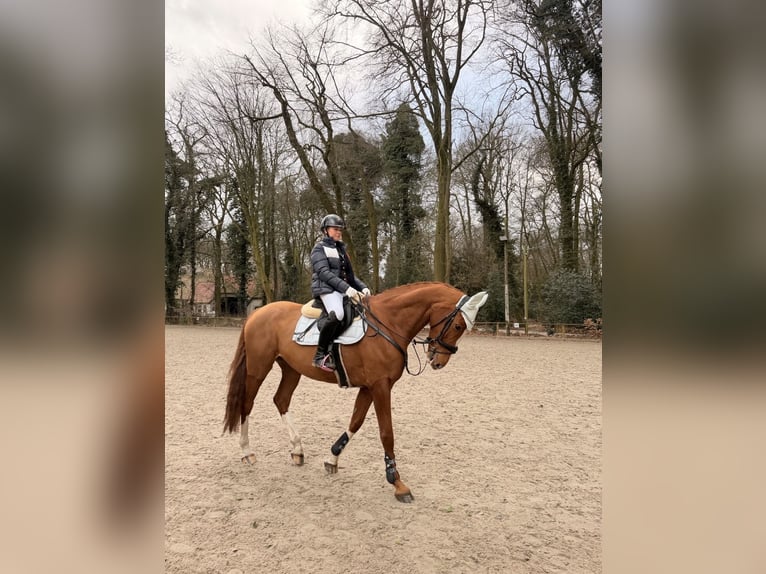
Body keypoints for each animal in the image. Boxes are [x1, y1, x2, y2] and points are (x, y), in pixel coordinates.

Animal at [223, 281, 488, 502]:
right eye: (457, 325)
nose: (438, 361)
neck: (388, 323)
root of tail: (257, 313)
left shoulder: (370, 387)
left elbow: (356, 422)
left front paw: (332, 458)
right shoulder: (380, 386)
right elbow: (386, 433)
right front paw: (397, 482)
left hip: (291, 369)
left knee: (281, 400)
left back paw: (297, 450)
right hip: (258, 369)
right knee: (247, 404)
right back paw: (247, 452)